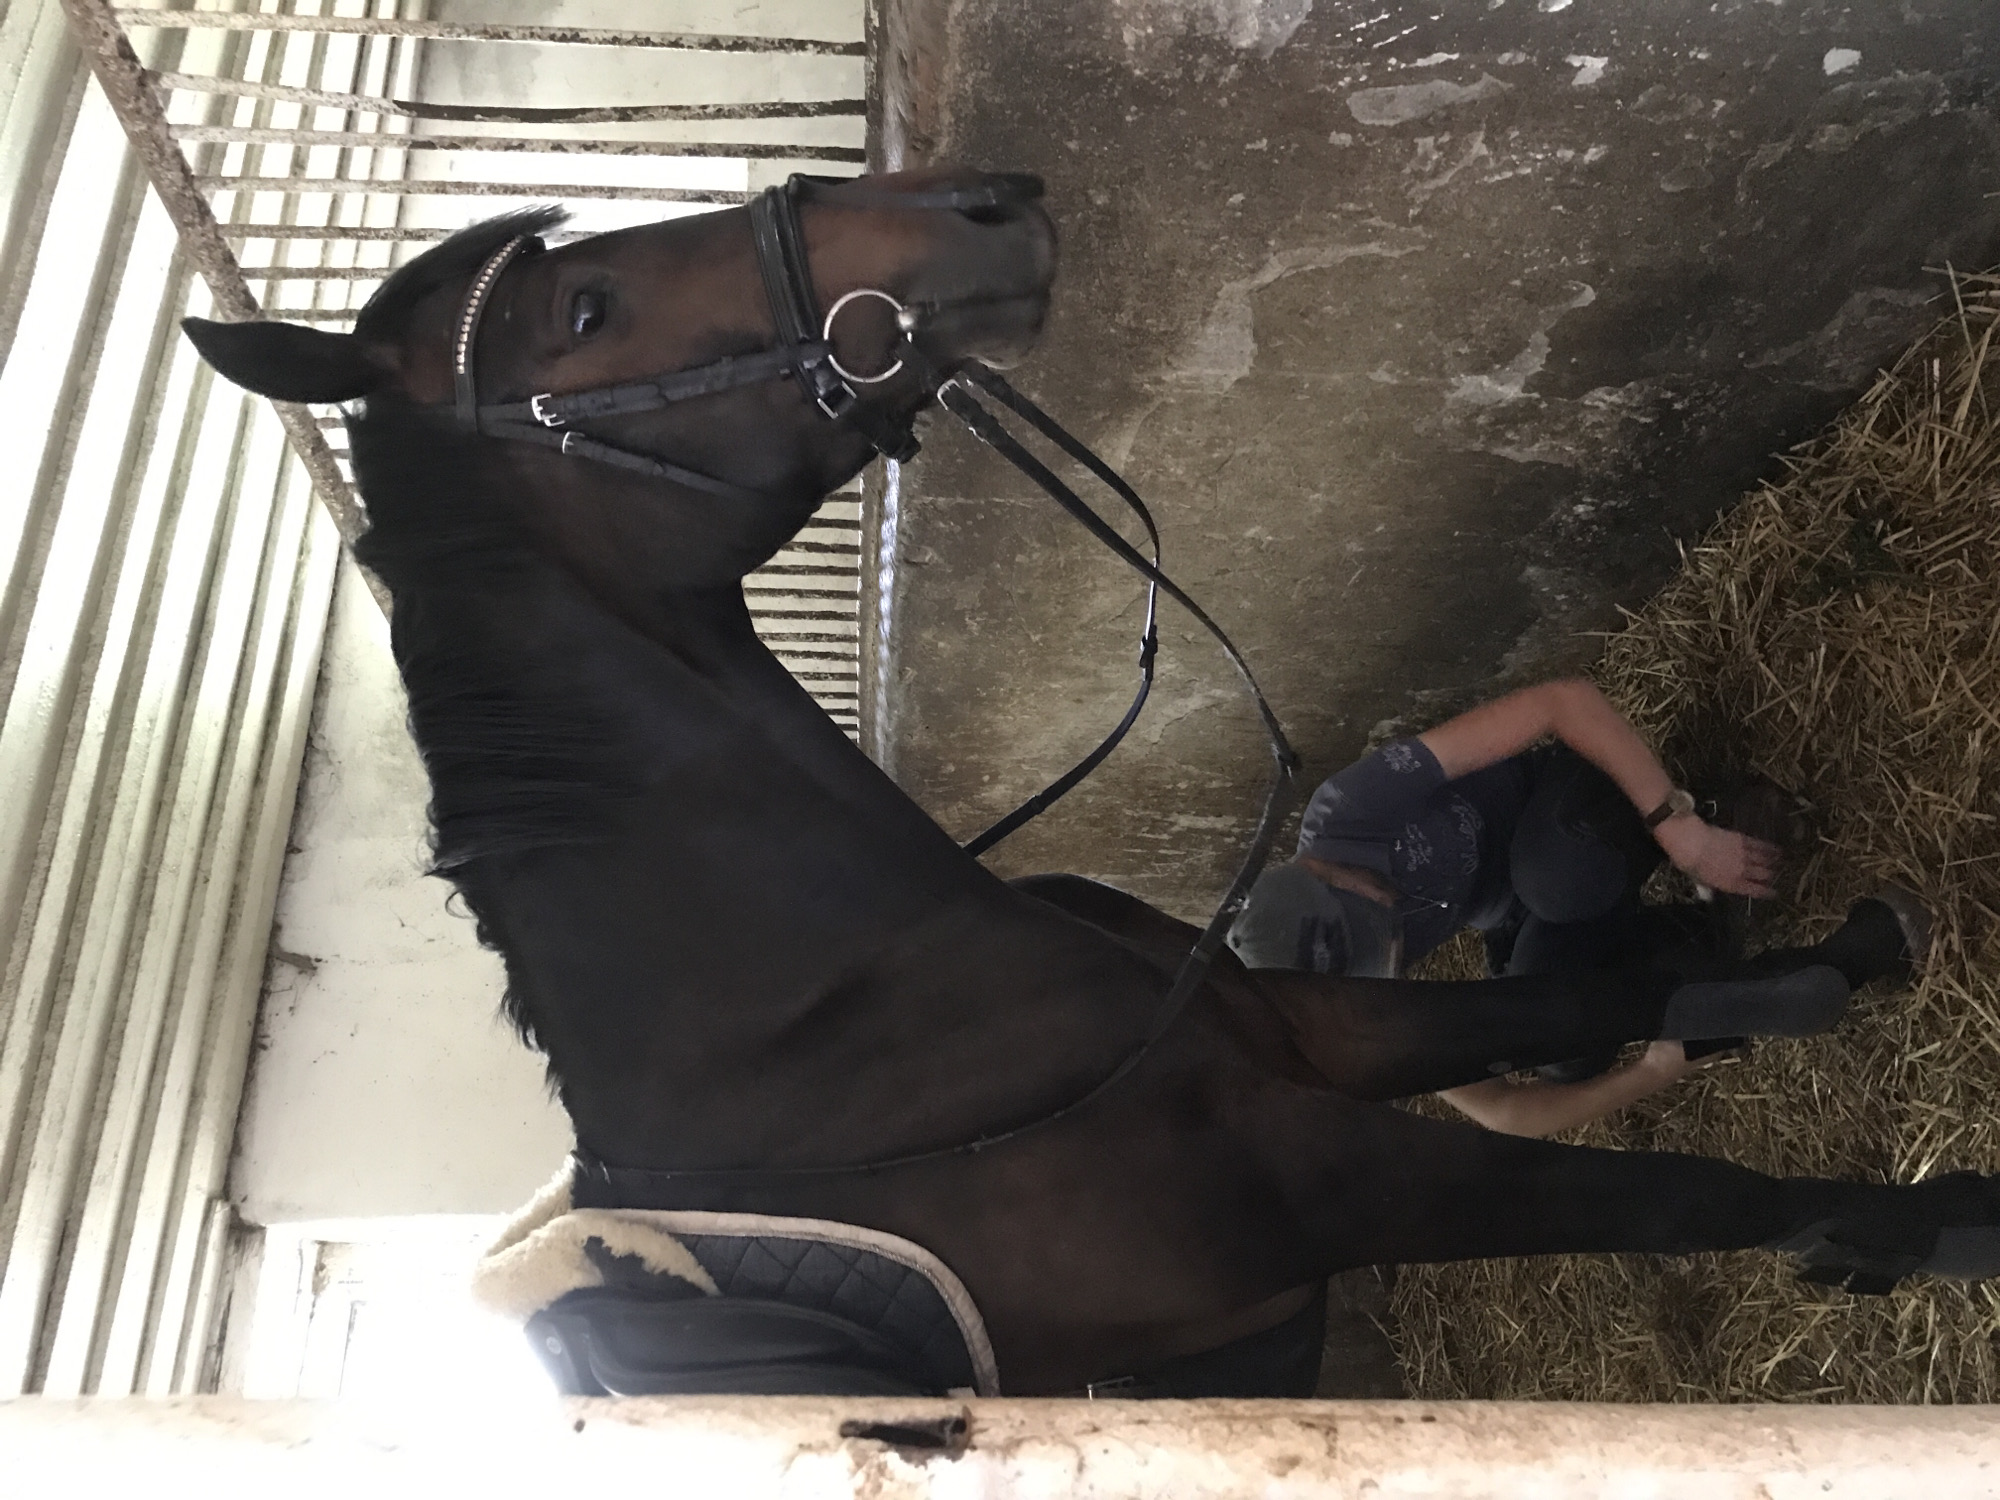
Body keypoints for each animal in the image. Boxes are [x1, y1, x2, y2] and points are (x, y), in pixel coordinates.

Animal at [184, 167, 2000, 1395]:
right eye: (581, 314)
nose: (982, 204)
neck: (853, 1026)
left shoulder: (1298, 1030)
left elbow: (1569, 1004)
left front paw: (1819, 967)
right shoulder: (1323, 1175)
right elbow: (1678, 1189)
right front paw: (1932, 1227)